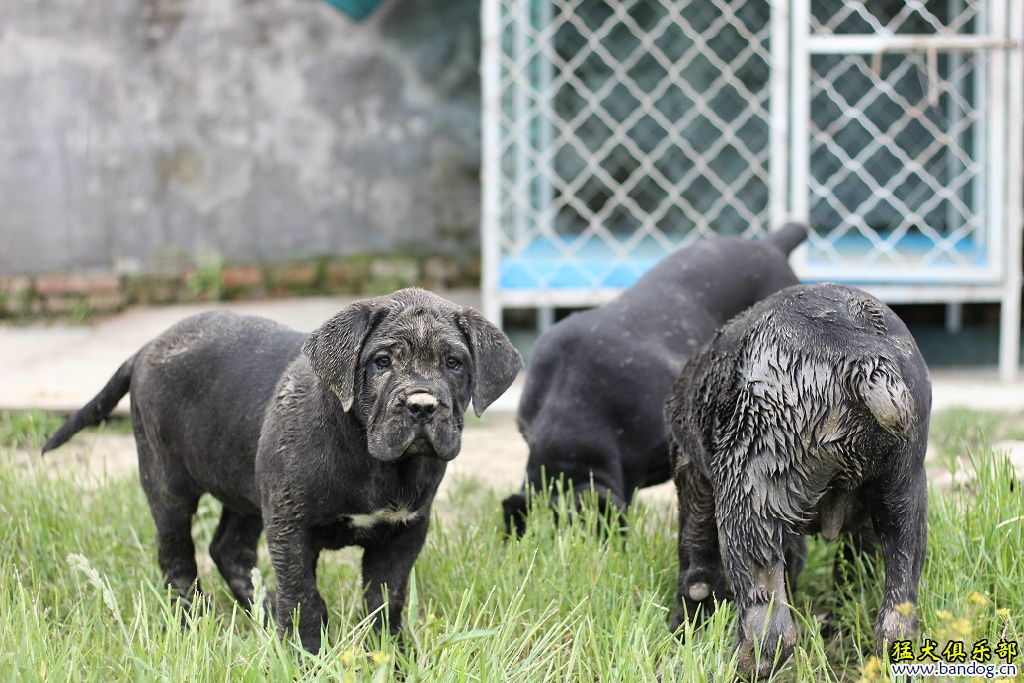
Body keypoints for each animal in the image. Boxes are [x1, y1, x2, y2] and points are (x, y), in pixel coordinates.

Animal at [41, 288, 520, 651]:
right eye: (382, 362)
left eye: (454, 363)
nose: (422, 405)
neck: (374, 460)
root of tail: (146, 347)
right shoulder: (291, 525)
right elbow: (304, 598)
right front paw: (309, 656)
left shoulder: (404, 532)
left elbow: (386, 600)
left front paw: (392, 656)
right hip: (168, 483)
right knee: (177, 556)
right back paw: (195, 620)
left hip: (245, 489)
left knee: (229, 549)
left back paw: (262, 612)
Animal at [663, 282, 929, 679]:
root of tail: (866, 361)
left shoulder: (696, 483)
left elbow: (697, 559)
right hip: (906, 495)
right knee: (897, 613)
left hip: (748, 498)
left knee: (771, 628)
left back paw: (739, 665)